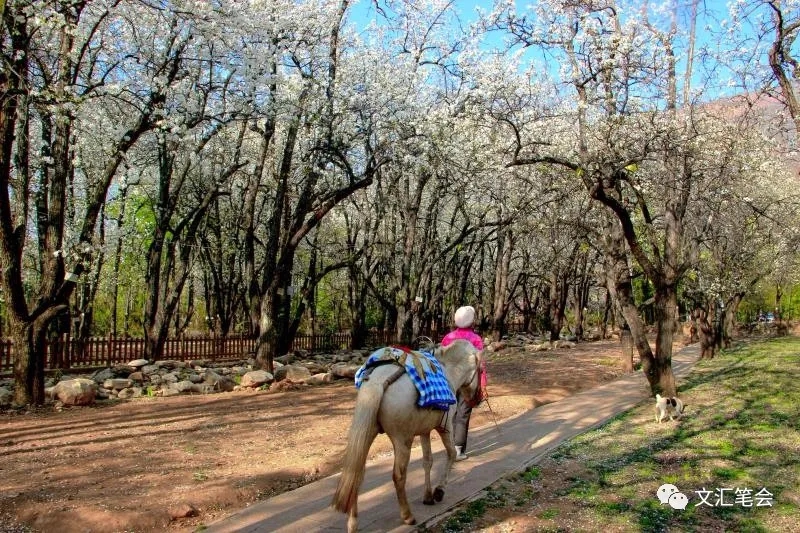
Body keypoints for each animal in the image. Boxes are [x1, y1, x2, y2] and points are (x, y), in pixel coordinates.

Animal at [332, 338, 482, 528]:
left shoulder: (425, 431)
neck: (448, 372)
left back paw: (352, 525)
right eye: (480, 370)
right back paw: (407, 516)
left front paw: (428, 496)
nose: (478, 399)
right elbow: (451, 454)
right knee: (399, 475)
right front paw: (439, 491)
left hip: (367, 433)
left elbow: (428, 461)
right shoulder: (446, 427)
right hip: (402, 440)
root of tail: (377, 381)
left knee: (356, 474)